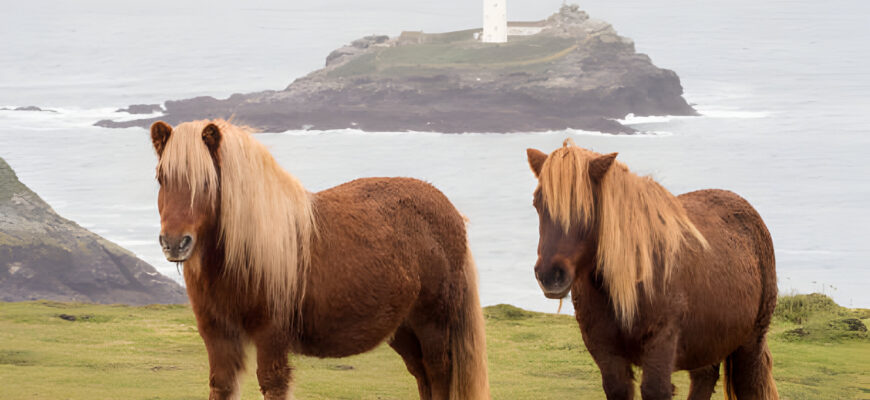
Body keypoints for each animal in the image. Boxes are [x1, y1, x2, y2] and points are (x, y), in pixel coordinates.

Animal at [151, 119, 490, 400]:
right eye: (161, 179)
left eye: (207, 183)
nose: (175, 243)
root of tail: (451, 212)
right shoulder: (218, 337)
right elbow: (220, 386)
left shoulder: (271, 337)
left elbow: (273, 384)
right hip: (404, 330)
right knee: (422, 377)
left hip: (432, 324)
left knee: (438, 373)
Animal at [528, 139, 780, 398]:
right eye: (537, 203)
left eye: (586, 207)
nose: (550, 275)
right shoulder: (607, 356)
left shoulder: (661, 347)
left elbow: (654, 389)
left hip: (749, 345)